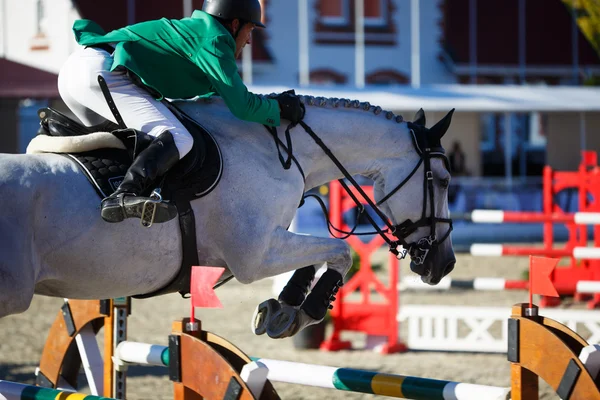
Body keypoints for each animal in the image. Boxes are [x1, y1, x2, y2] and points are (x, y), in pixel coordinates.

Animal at [0, 96, 454, 338]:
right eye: (446, 180)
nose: (444, 265)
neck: (273, 150)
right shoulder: (254, 256)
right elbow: (339, 251)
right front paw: (304, 311)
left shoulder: (268, 243)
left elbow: (318, 255)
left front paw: (282, 310)